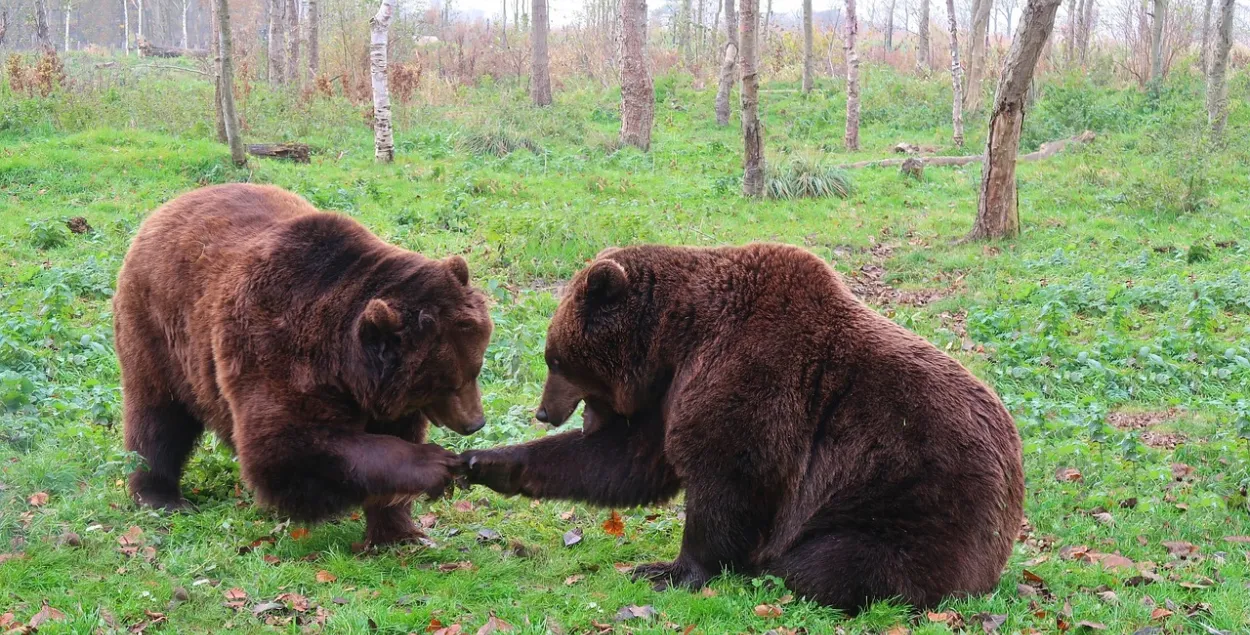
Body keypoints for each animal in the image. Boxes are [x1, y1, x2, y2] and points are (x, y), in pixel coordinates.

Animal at [113, 183, 492, 545]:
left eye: (475, 369)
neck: (344, 366)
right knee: (159, 416)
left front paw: (399, 532)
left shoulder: (384, 396)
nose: (475, 422)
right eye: (447, 383)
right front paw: (435, 464)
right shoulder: (276, 349)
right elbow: (287, 447)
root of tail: (167, 207)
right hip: (159, 331)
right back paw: (160, 495)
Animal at [465, 241, 1020, 610]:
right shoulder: (673, 394)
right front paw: (483, 461)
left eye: (555, 359)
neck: (677, 337)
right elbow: (626, 461)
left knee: (830, 565)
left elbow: (730, 477)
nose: (544, 411)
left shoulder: (752, 375)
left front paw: (668, 570)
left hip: (910, 503)